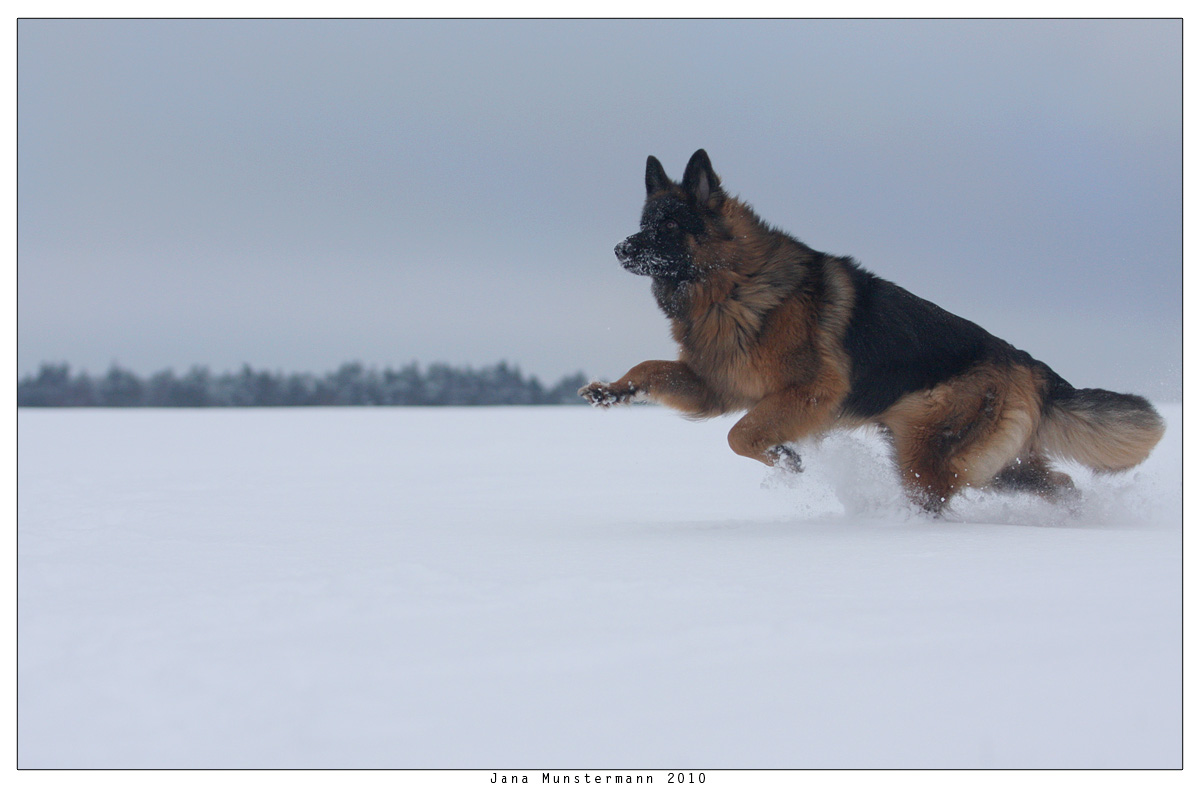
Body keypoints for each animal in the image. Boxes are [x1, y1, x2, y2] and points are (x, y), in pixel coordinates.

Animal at [580, 150, 1161, 513]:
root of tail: (1031, 365)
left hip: (928, 459)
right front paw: (612, 391)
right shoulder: (714, 387)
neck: (732, 285)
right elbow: (649, 368)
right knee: (1060, 483)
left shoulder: (810, 391)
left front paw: (784, 457)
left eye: (669, 226)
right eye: (644, 222)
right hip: (984, 463)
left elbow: (740, 434)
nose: (619, 249)